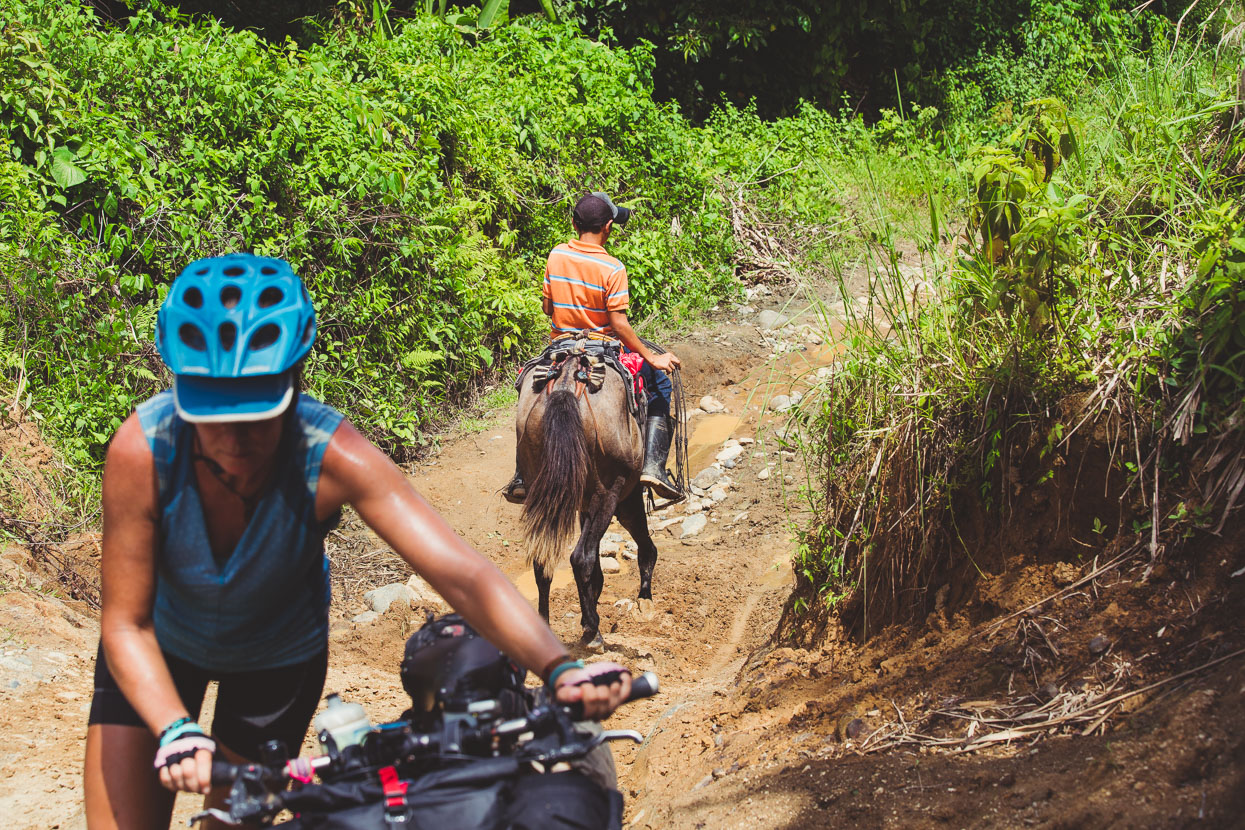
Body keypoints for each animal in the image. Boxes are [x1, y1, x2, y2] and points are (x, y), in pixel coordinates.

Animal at [512, 338, 662, 647]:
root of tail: (568, 382)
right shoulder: (624, 497)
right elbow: (638, 547)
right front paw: (644, 597)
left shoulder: (584, 502)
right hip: (608, 493)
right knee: (580, 558)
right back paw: (594, 630)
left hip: (542, 489)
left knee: (542, 560)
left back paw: (549, 626)